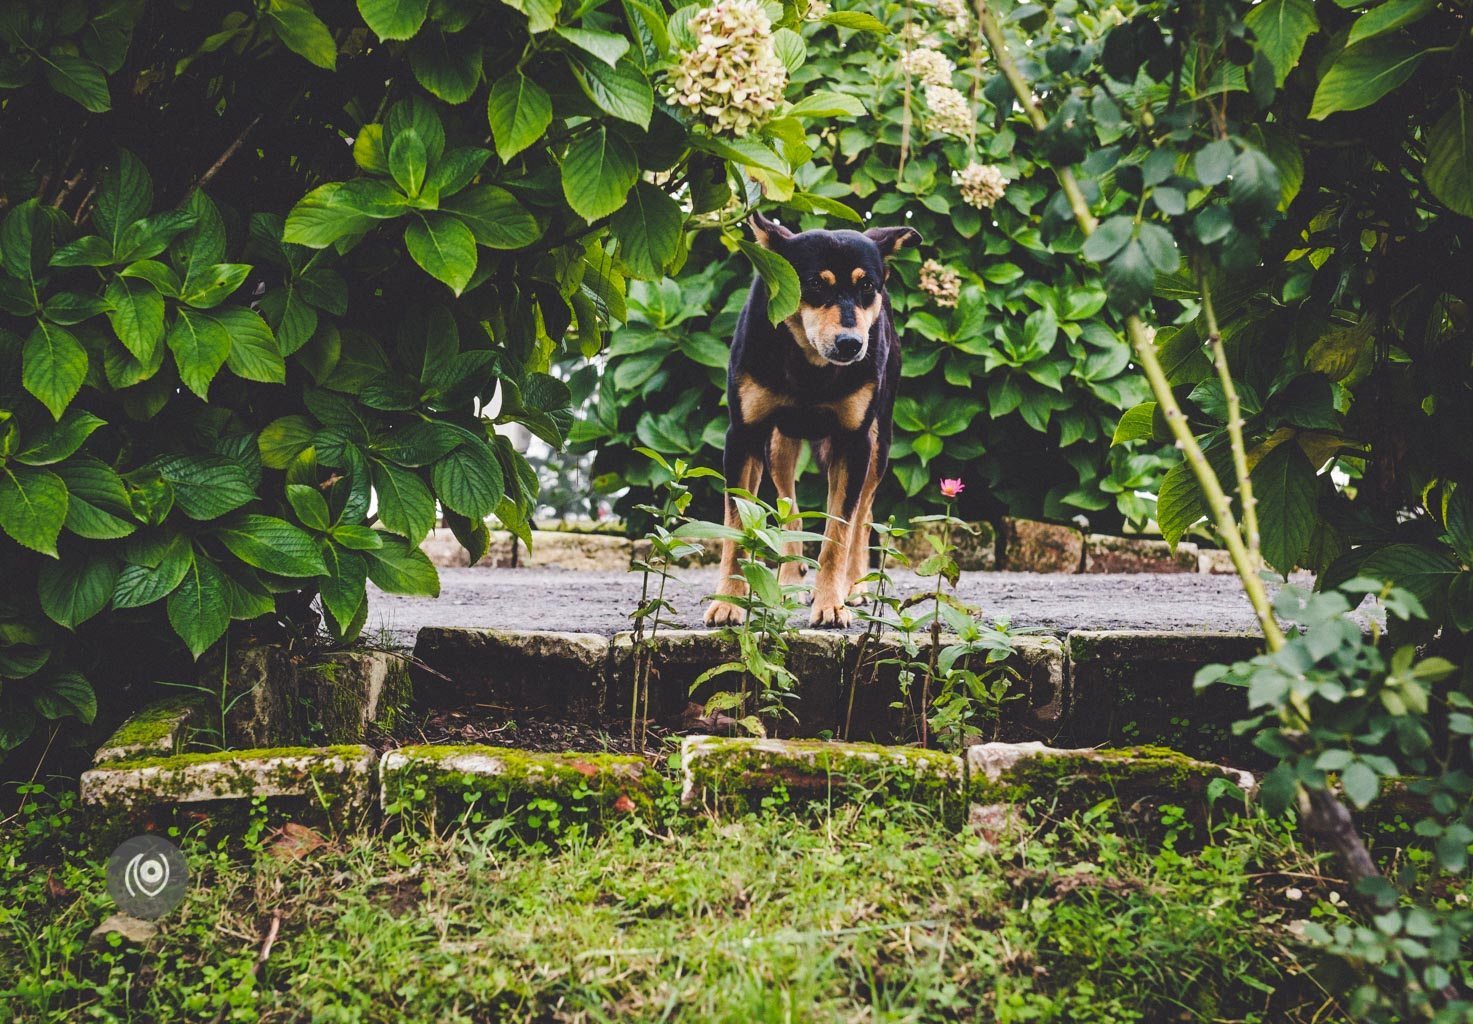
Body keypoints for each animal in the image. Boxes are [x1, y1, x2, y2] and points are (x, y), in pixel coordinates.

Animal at [704, 213, 919, 627]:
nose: (851, 343)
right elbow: (737, 527)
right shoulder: (743, 436)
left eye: (867, 287)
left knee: (863, 516)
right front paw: (729, 602)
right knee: (790, 509)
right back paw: (788, 579)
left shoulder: (855, 443)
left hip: (879, 443)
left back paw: (854, 586)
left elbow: (838, 533)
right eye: (816, 284)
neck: (810, 366)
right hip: (778, 445)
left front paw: (831, 603)